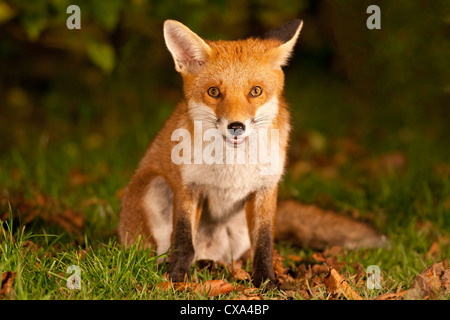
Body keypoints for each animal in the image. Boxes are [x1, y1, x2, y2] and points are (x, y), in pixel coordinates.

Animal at [118, 18, 302, 288]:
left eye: (255, 91)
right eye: (214, 92)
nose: (236, 126)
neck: (233, 165)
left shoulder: (265, 188)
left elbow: (264, 243)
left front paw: (266, 281)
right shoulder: (188, 185)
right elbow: (183, 241)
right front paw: (176, 279)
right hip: (157, 188)